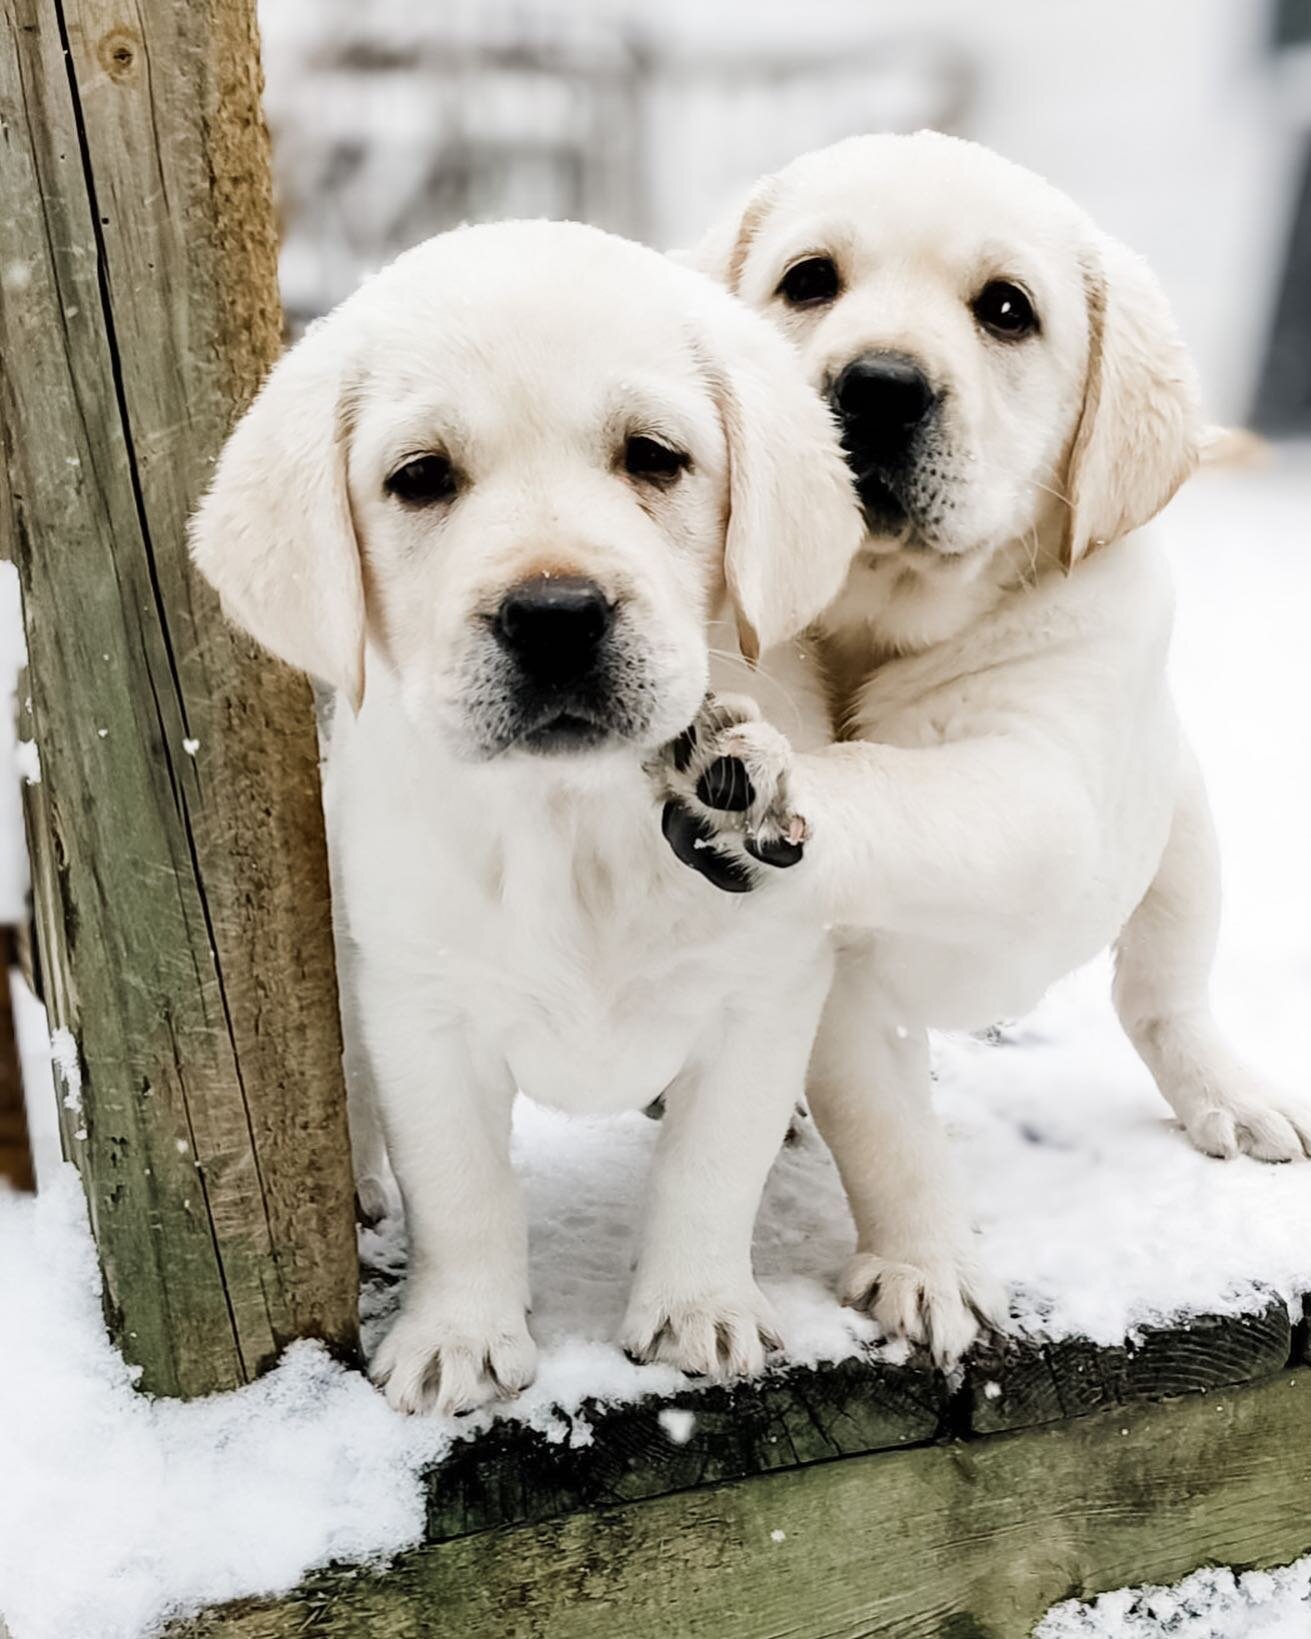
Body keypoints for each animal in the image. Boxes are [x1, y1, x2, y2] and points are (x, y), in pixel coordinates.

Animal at [186, 221, 858, 1409]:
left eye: (655, 457)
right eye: (419, 478)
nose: (554, 615)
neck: (570, 821)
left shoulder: (763, 992)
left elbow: (711, 1165)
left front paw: (698, 1310)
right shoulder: (423, 1010)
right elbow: (459, 1189)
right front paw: (456, 1336)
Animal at [665, 134, 1311, 1357]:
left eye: (1006, 309)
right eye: (808, 280)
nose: (875, 387)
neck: (877, 620)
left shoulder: (1042, 786)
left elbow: (905, 783)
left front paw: (766, 787)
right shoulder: (841, 983)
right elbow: (883, 1117)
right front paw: (926, 1260)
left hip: (1182, 835)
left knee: (1163, 992)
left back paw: (1231, 1093)